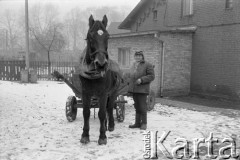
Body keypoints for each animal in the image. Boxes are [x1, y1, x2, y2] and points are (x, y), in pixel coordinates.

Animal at [79, 15, 124, 145]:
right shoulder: (85, 93)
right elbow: (86, 112)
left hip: (113, 93)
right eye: (90, 37)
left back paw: (111, 125)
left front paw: (102, 136)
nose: (101, 64)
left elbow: (102, 113)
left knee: (109, 107)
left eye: (107, 36)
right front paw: (85, 135)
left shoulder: (103, 93)